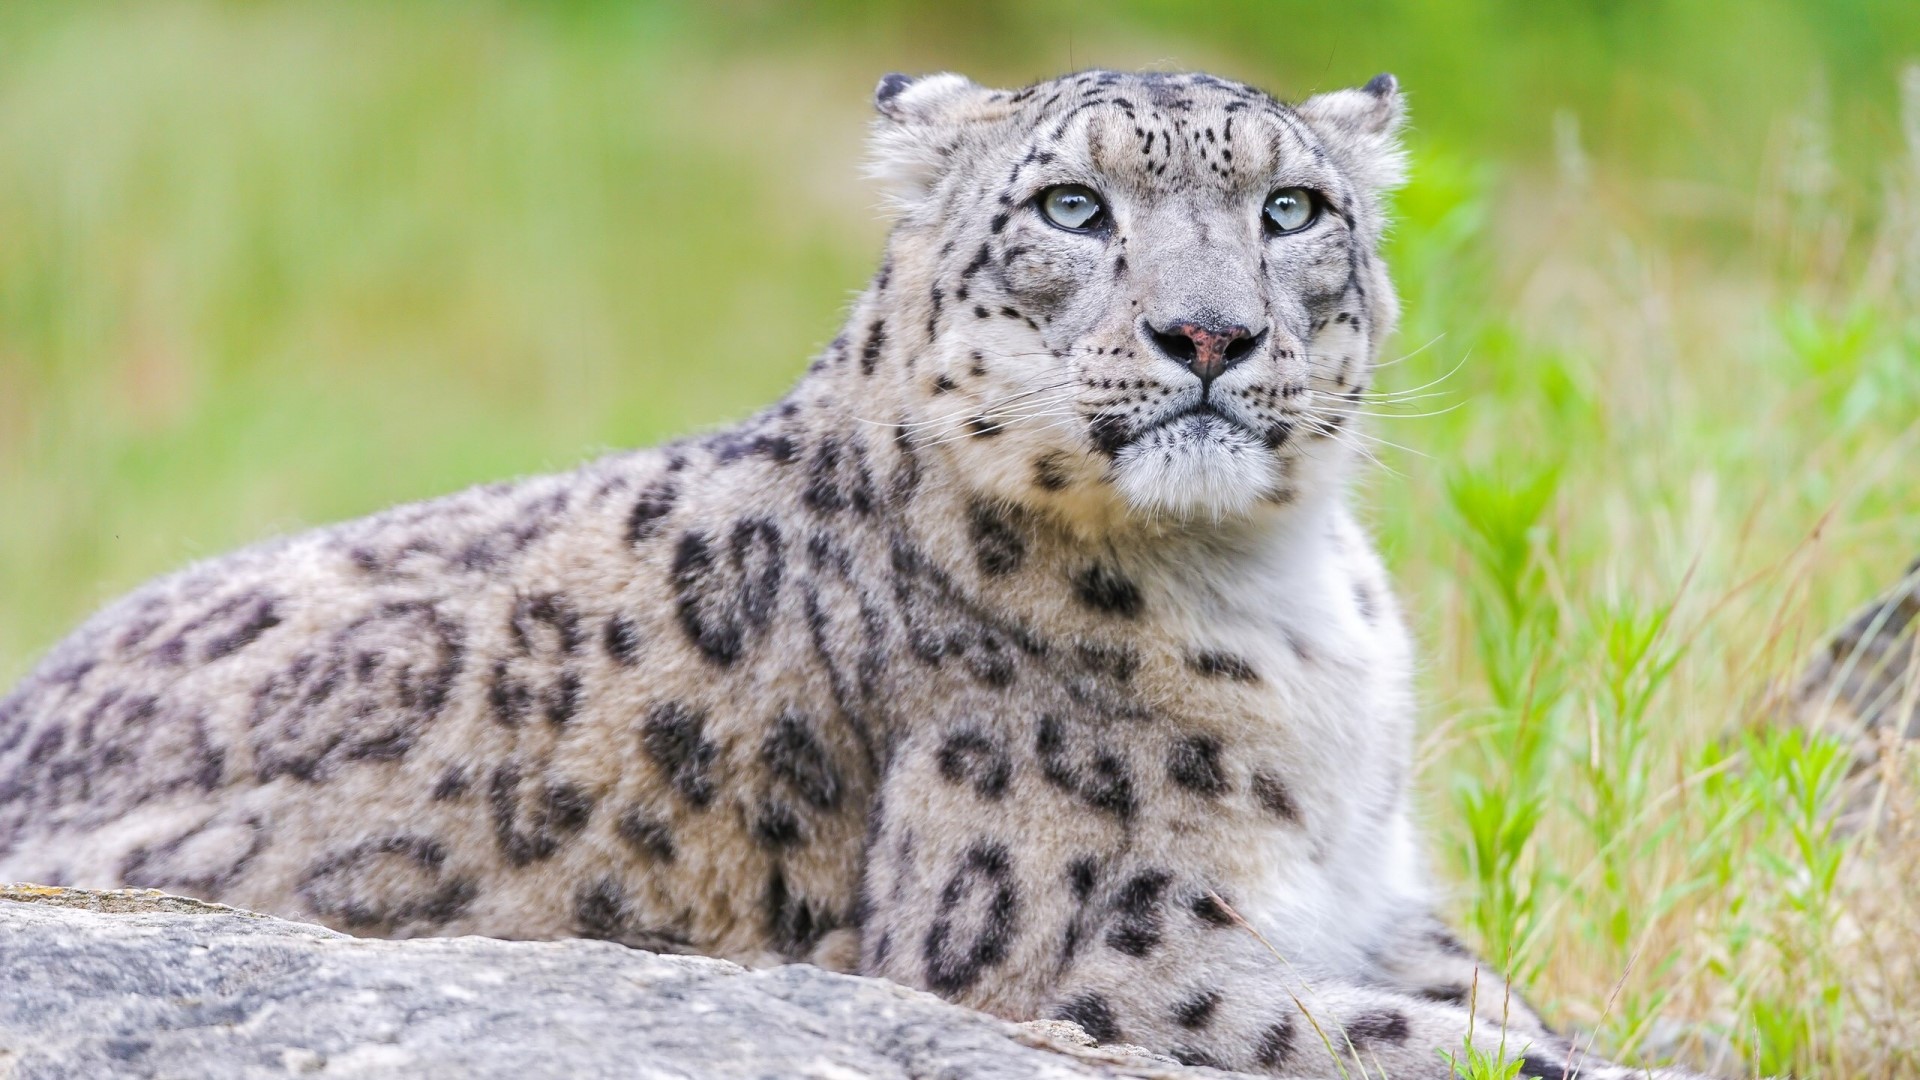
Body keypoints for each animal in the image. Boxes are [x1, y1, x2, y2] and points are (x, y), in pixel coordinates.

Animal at [0, 69, 1705, 1079]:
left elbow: (1498, 997)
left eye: (1293, 208)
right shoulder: (1094, 953)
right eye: (1072, 204)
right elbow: (1432, 1040)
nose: (1209, 333)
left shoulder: (1385, 899)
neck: (1283, 601)